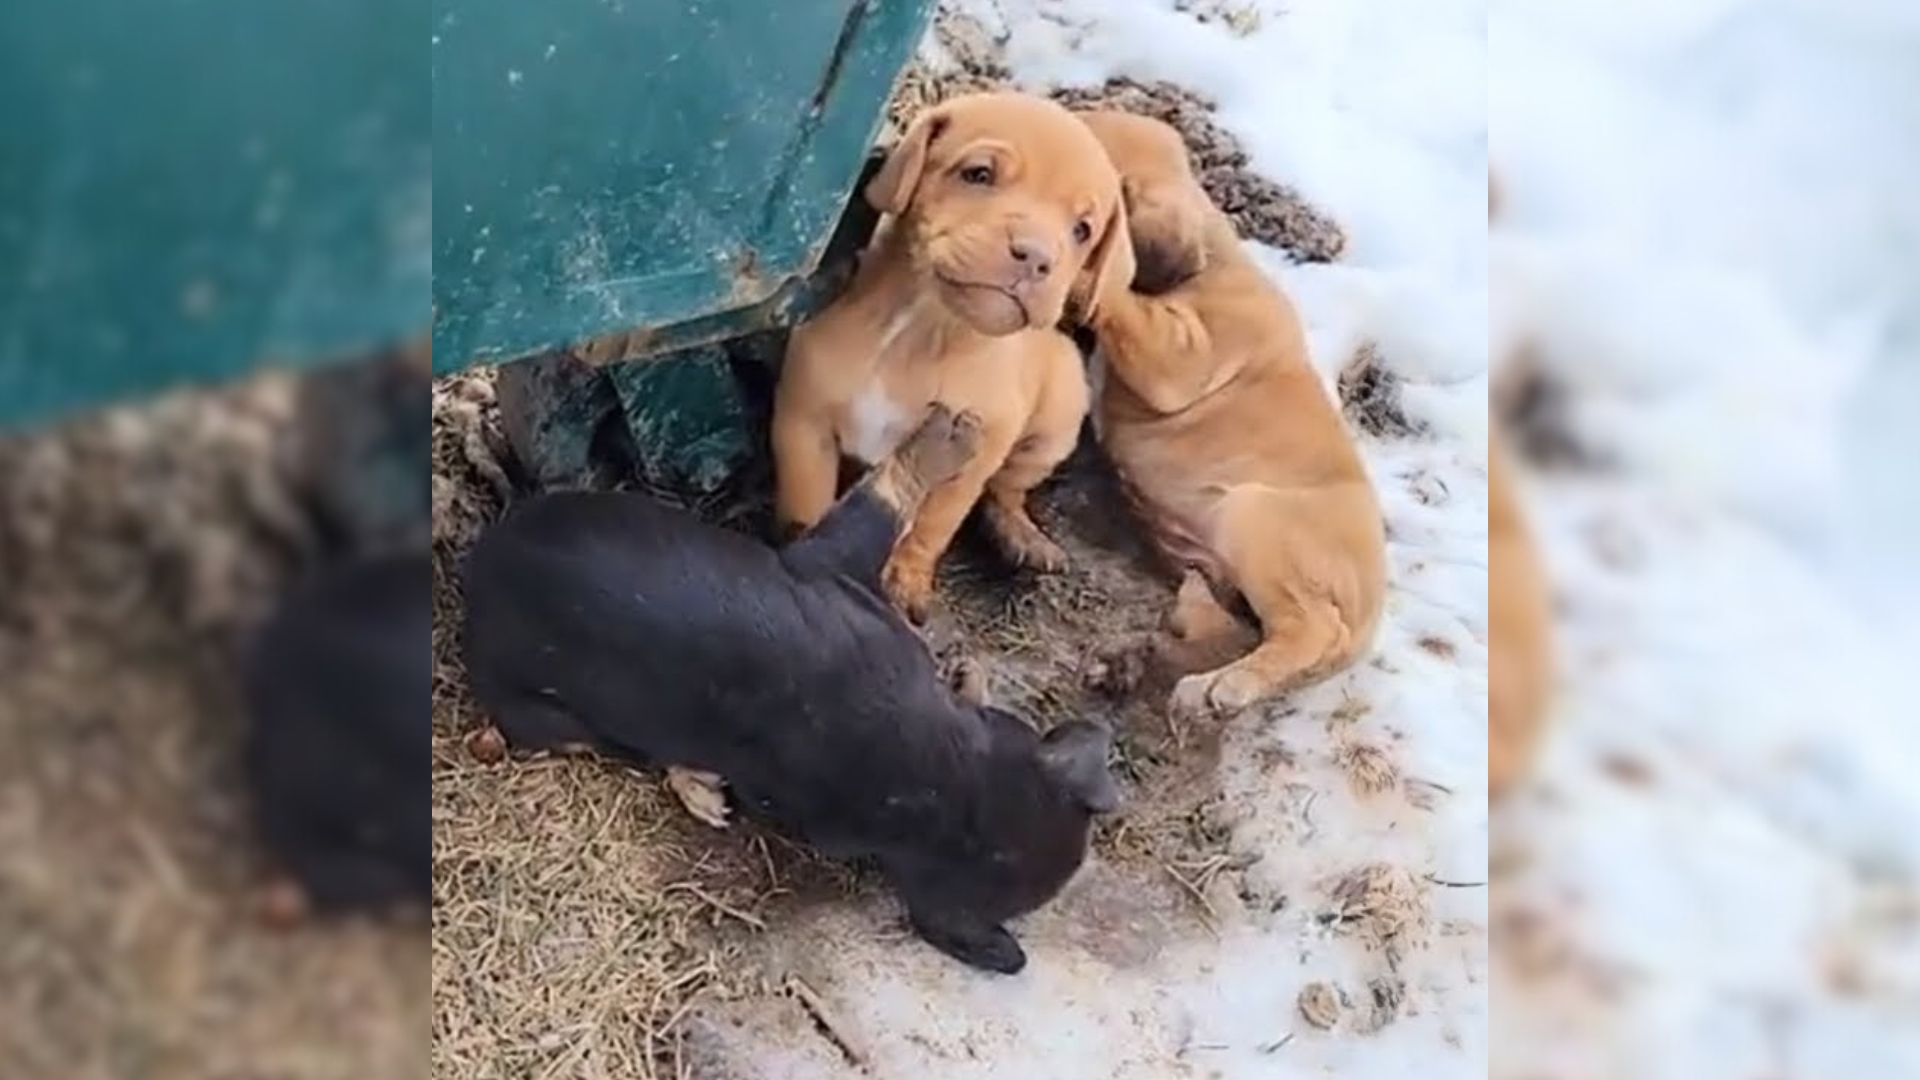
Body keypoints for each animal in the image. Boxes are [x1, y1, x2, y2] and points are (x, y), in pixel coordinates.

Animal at [466, 401, 1121, 968]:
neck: (951, 784)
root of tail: (478, 565)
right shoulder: (827, 565)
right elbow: (883, 497)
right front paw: (960, 429)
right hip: (546, 715)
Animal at [768, 94, 1128, 622]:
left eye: (1083, 230)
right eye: (978, 174)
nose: (1036, 256)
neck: (923, 329)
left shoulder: (973, 455)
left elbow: (934, 521)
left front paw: (905, 578)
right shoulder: (804, 424)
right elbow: (808, 500)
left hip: (1057, 418)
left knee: (1008, 489)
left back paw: (1018, 533)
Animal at [1082, 111, 1382, 714]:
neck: (1213, 258)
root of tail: (1368, 624)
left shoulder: (1181, 355)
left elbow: (1122, 298)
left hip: (1254, 515)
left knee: (1309, 628)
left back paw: (1223, 686)